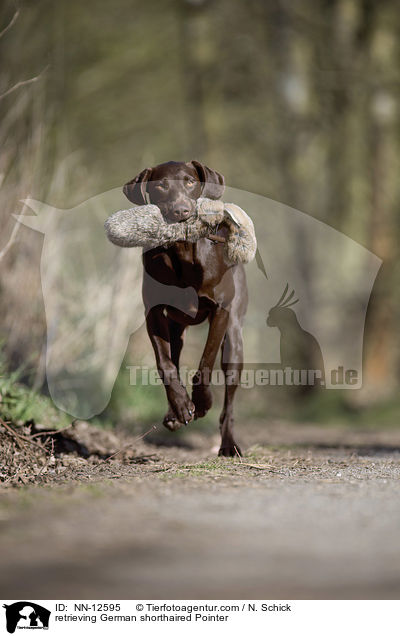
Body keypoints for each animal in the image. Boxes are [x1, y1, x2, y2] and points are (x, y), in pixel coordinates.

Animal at [123, 161, 247, 454]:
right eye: (160, 185)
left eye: (190, 181)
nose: (181, 211)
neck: (182, 252)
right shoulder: (154, 312)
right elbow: (165, 364)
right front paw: (181, 406)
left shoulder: (220, 310)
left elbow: (205, 362)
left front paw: (202, 402)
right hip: (176, 329)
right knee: (175, 358)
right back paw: (175, 412)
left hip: (234, 342)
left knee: (229, 402)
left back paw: (228, 444)